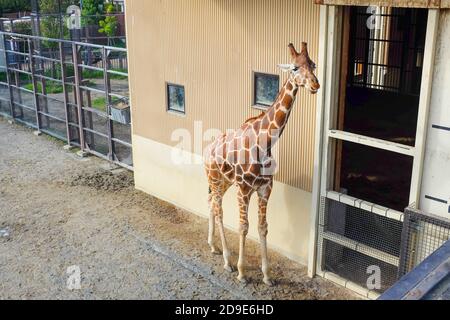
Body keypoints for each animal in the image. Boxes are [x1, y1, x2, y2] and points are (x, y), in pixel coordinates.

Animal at [204, 42, 320, 284]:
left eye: (313, 65)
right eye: (295, 68)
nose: (315, 84)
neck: (265, 142)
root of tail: (207, 151)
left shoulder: (265, 187)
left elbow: (263, 227)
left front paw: (267, 275)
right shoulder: (244, 188)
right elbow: (243, 227)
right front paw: (242, 272)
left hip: (223, 182)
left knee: (211, 203)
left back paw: (213, 247)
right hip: (216, 180)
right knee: (219, 210)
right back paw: (228, 261)